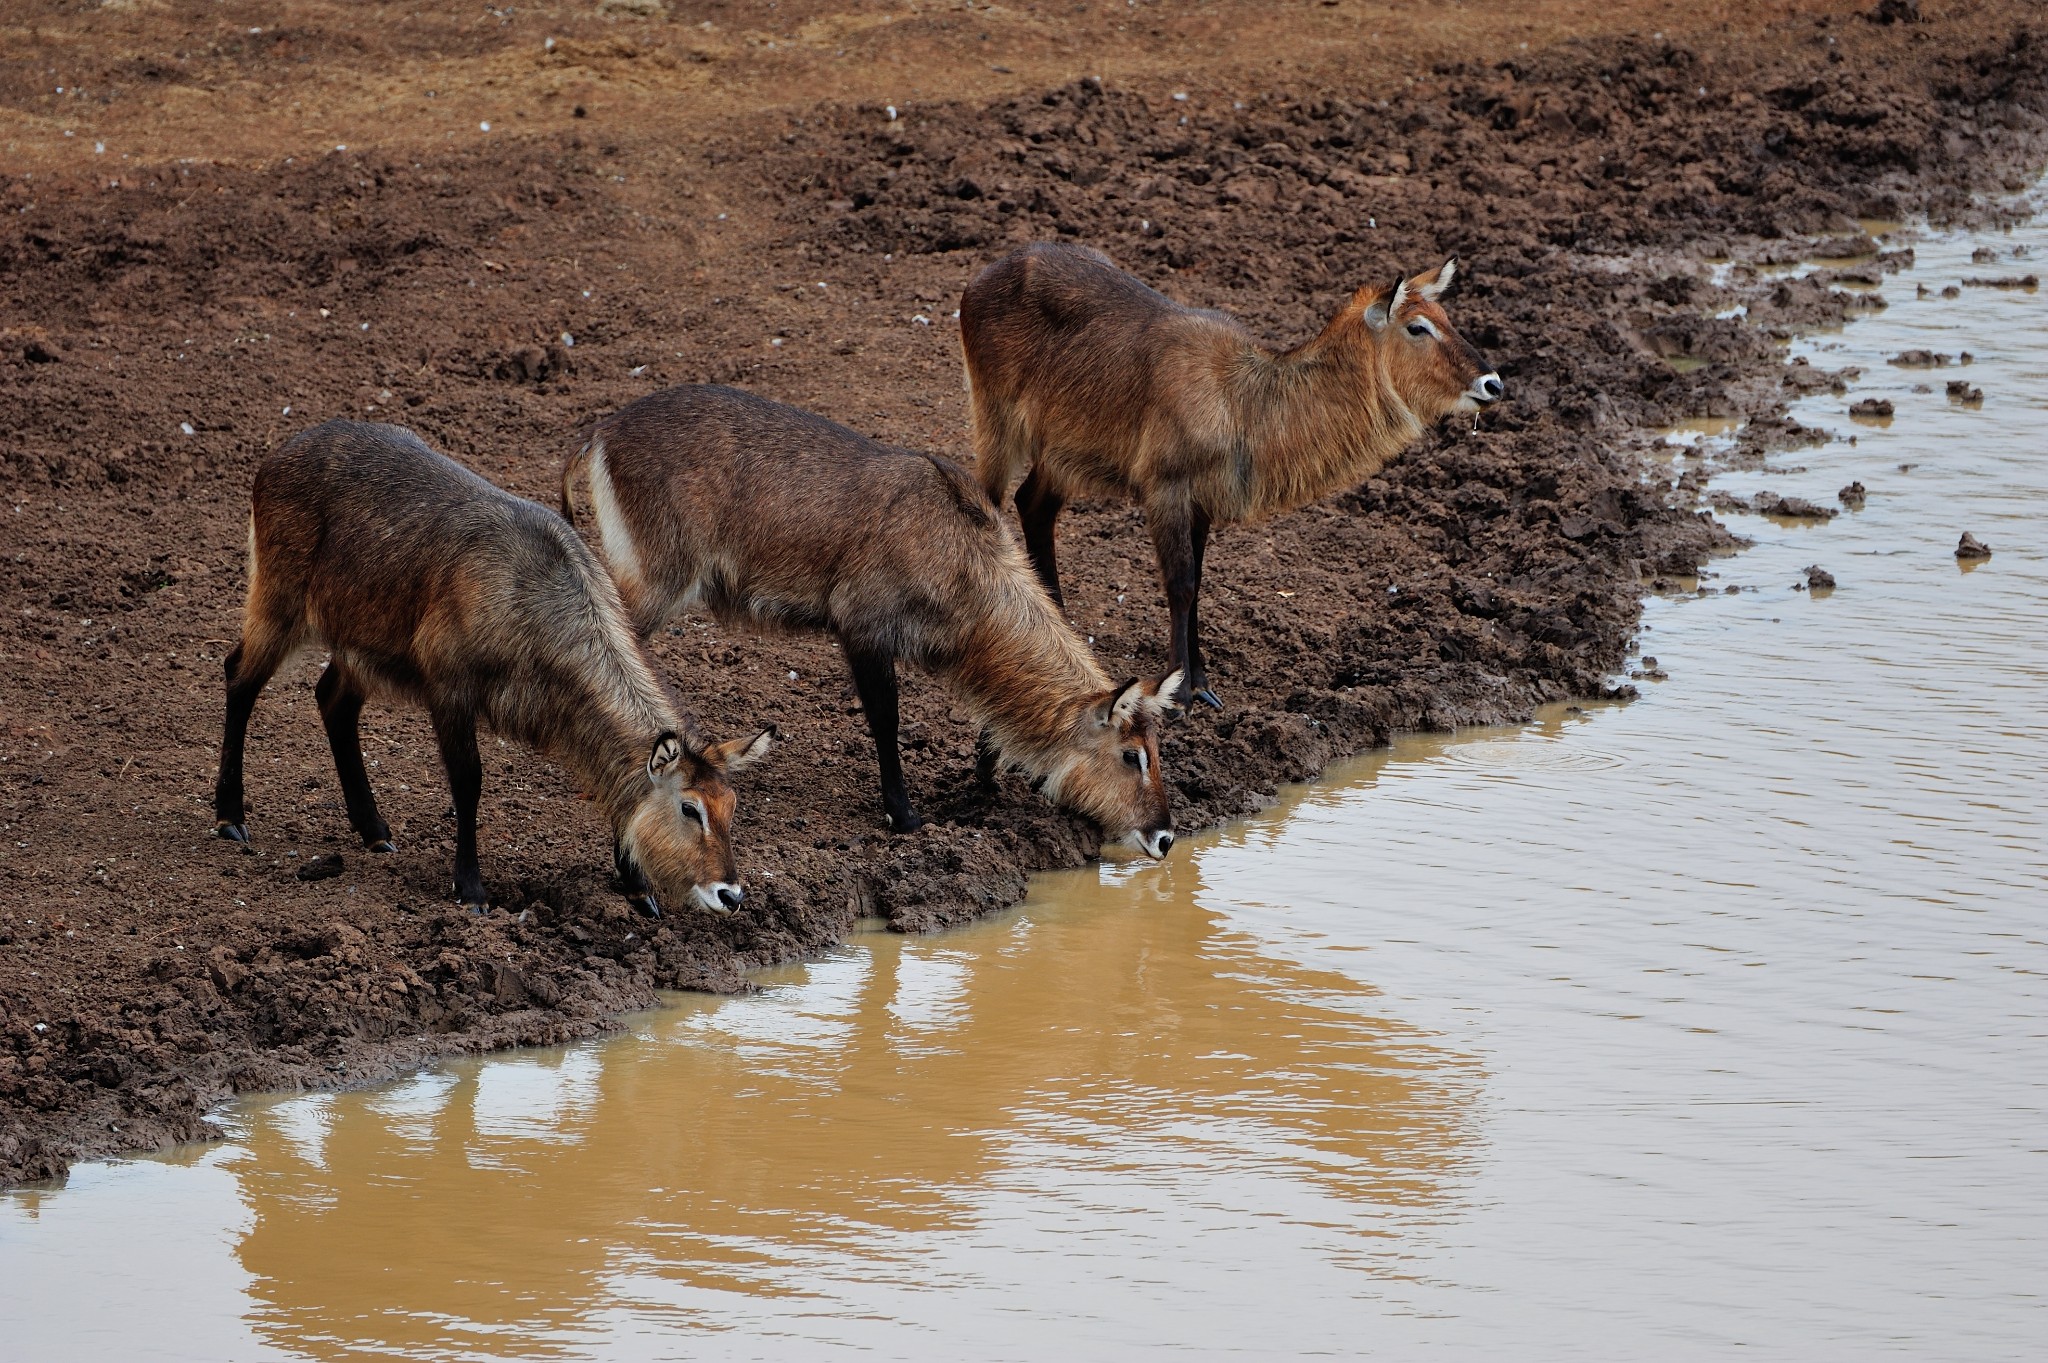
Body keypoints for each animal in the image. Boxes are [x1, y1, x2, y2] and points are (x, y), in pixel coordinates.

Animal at [216, 419, 770, 916]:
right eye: (689, 808)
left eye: (731, 805)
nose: (731, 895)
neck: (532, 602)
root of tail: (278, 454)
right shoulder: (449, 687)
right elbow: (469, 781)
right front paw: (471, 889)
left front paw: (637, 888)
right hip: (279, 602)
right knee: (239, 676)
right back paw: (229, 818)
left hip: (361, 642)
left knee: (332, 699)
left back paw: (374, 832)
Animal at [565, 382, 1187, 851]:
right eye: (1132, 755)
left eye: (1160, 752)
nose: (1165, 838)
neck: (964, 562)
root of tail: (600, 433)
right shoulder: (863, 629)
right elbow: (886, 722)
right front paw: (905, 817)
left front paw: (984, 784)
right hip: (657, 579)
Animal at [958, 244, 1507, 704]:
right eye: (1417, 327)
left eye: (1446, 317)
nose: (1493, 383)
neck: (1242, 401)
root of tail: (988, 273)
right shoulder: (1166, 490)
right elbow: (1180, 584)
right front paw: (1181, 691)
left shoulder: (1203, 500)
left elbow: (1199, 583)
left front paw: (1201, 681)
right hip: (998, 422)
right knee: (989, 503)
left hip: (1060, 452)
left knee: (1034, 505)